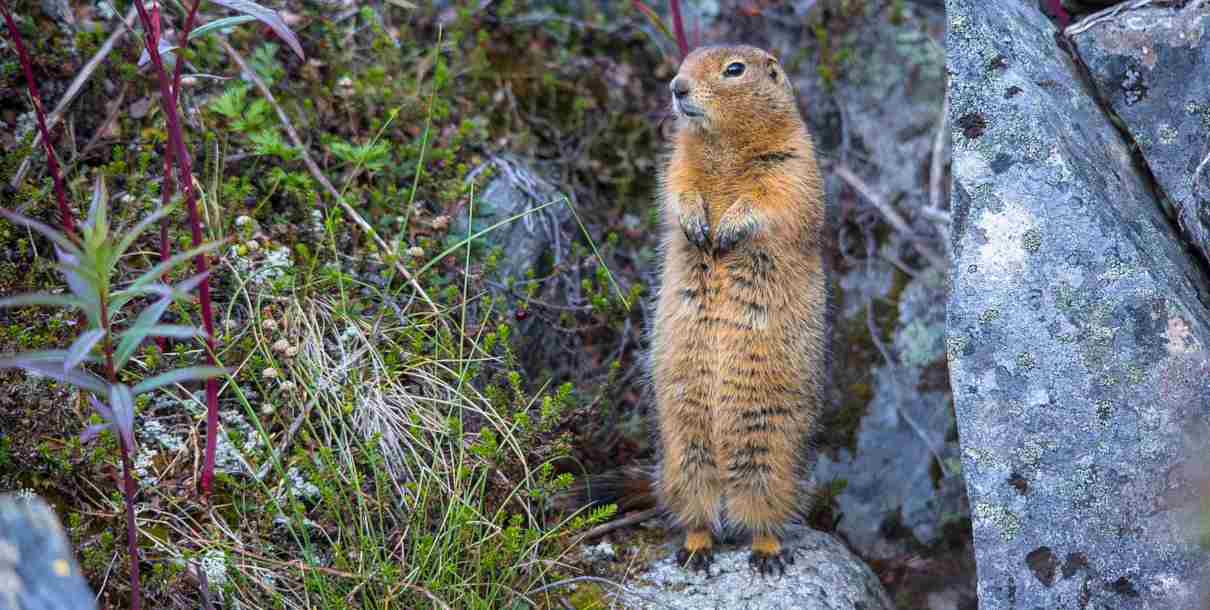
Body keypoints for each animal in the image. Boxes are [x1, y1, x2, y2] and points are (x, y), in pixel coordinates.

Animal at [559, 42, 827, 576]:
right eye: (685, 62)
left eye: (734, 70)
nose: (676, 87)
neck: (722, 145)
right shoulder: (677, 161)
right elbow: (676, 187)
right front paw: (696, 226)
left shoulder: (792, 162)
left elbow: (774, 200)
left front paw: (728, 229)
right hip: (685, 453)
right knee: (695, 510)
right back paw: (695, 547)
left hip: (770, 456)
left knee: (763, 510)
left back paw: (766, 551)